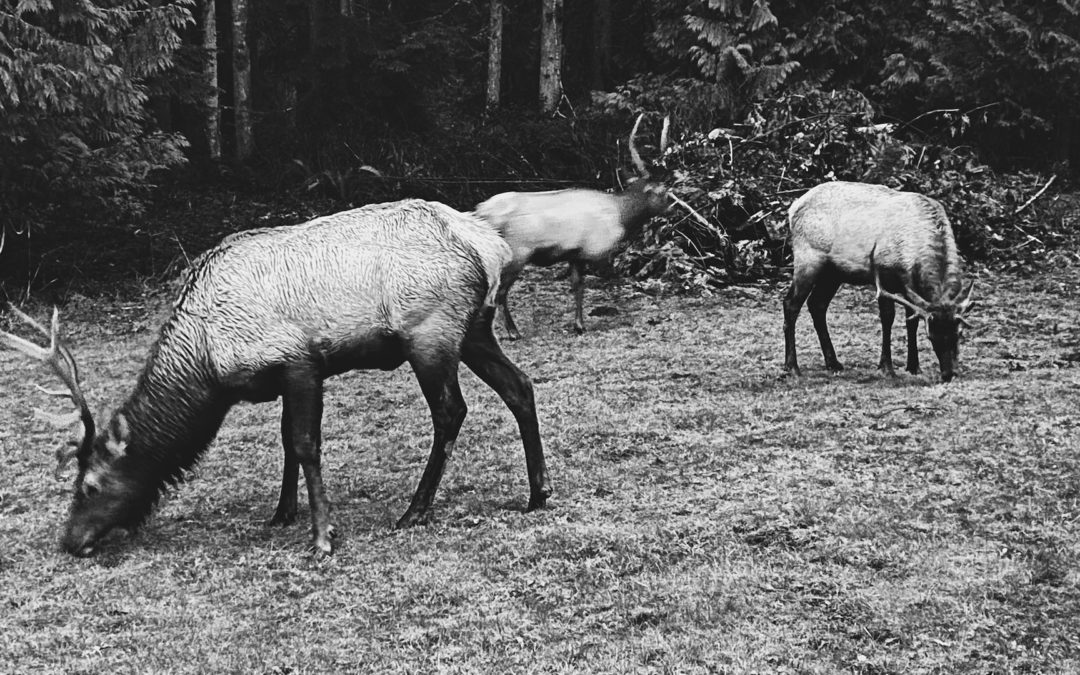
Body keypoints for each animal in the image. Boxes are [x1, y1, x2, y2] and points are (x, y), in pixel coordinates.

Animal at [2, 197, 548, 557]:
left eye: (90, 487)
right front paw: (282, 512)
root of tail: (491, 246)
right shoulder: (287, 377)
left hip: (430, 332)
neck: (208, 365)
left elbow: (305, 444)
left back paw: (415, 510)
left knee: (451, 411)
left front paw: (323, 536)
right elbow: (286, 442)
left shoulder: (299, 362)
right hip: (474, 328)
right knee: (521, 386)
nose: (69, 541)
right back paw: (538, 492)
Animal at [477, 113, 669, 341]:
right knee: (499, 292)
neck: (621, 216)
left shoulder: (575, 253)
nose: (673, 208)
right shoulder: (592, 251)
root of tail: (480, 212)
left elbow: (577, 286)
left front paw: (578, 325)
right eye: (662, 191)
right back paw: (513, 331)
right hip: (516, 253)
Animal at [781, 181, 976, 382]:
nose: (949, 374)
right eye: (930, 336)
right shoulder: (884, 278)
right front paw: (886, 367)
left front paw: (914, 366)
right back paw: (792, 367)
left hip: (833, 273)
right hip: (808, 259)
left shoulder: (911, 289)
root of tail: (793, 207)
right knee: (791, 304)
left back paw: (833, 363)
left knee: (817, 304)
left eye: (959, 333)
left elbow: (911, 321)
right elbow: (887, 319)